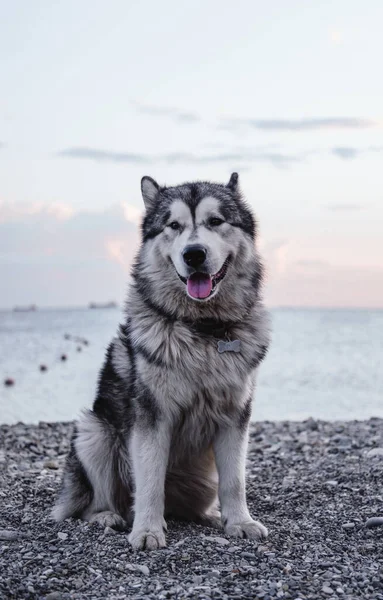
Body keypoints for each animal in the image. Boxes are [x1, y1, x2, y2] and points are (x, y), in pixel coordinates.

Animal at [52, 172, 272, 548]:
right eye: (173, 225)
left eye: (216, 221)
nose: (194, 254)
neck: (203, 329)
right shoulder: (152, 416)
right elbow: (150, 480)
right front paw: (147, 530)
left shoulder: (235, 414)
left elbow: (235, 480)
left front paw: (240, 521)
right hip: (94, 432)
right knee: (95, 501)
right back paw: (107, 515)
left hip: (201, 481)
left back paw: (211, 515)